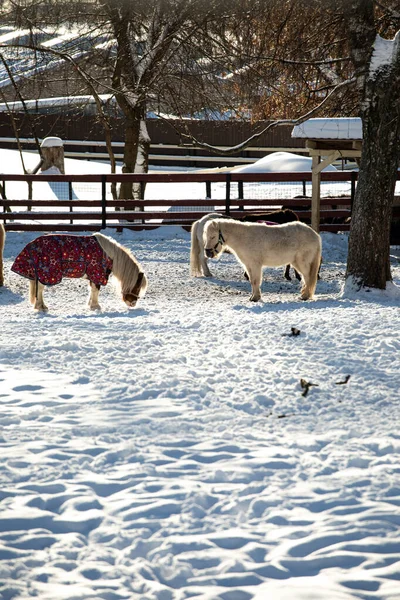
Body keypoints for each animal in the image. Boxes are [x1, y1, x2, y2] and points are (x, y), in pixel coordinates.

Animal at [11, 232, 148, 312]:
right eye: (137, 287)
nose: (133, 304)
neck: (110, 255)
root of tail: (31, 244)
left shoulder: (93, 276)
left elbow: (92, 289)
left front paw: (91, 305)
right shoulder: (97, 274)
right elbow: (96, 290)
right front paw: (96, 306)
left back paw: (42, 306)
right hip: (47, 274)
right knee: (39, 289)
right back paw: (41, 307)